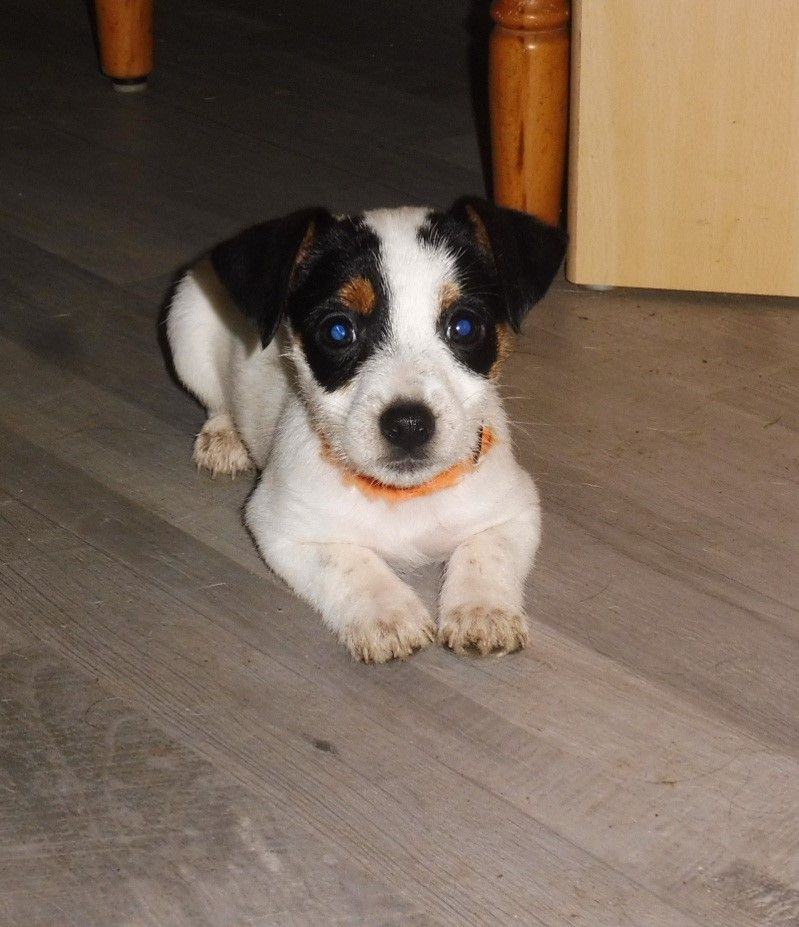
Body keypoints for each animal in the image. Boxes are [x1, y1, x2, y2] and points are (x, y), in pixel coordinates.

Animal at [167, 197, 566, 663]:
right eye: (338, 331)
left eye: (464, 326)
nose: (408, 425)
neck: (403, 497)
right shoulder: (282, 528)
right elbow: (350, 562)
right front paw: (388, 614)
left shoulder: (514, 508)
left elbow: (486, 552)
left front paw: (483, 610)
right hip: (185, 332)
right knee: (214, 400)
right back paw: (224, 438)